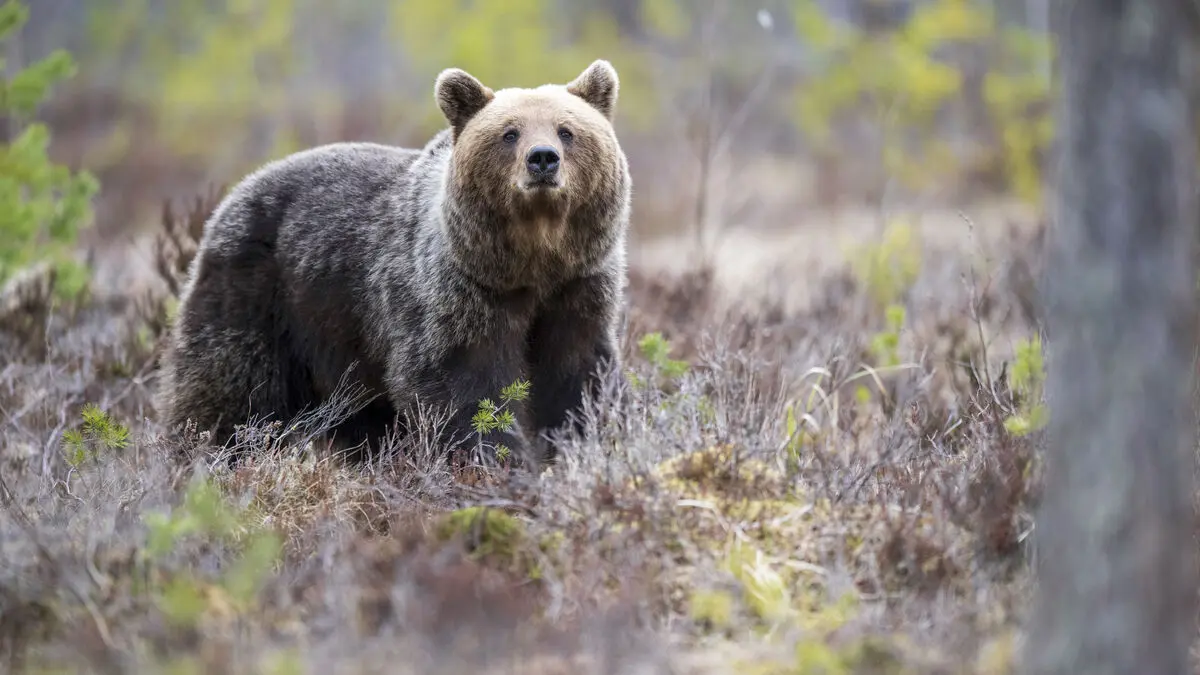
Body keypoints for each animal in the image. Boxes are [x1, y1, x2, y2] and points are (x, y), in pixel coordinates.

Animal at [156, 60, 631, 465]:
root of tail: (236, 192)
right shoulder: (456, 295)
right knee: (231, 391)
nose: (543, 159)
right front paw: (491, 456)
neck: (532, 262)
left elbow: (578, 378)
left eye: (567, 130)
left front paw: (590, 440)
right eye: (509, 133)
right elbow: (462, 386)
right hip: (259, 293)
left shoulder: (578, 290)